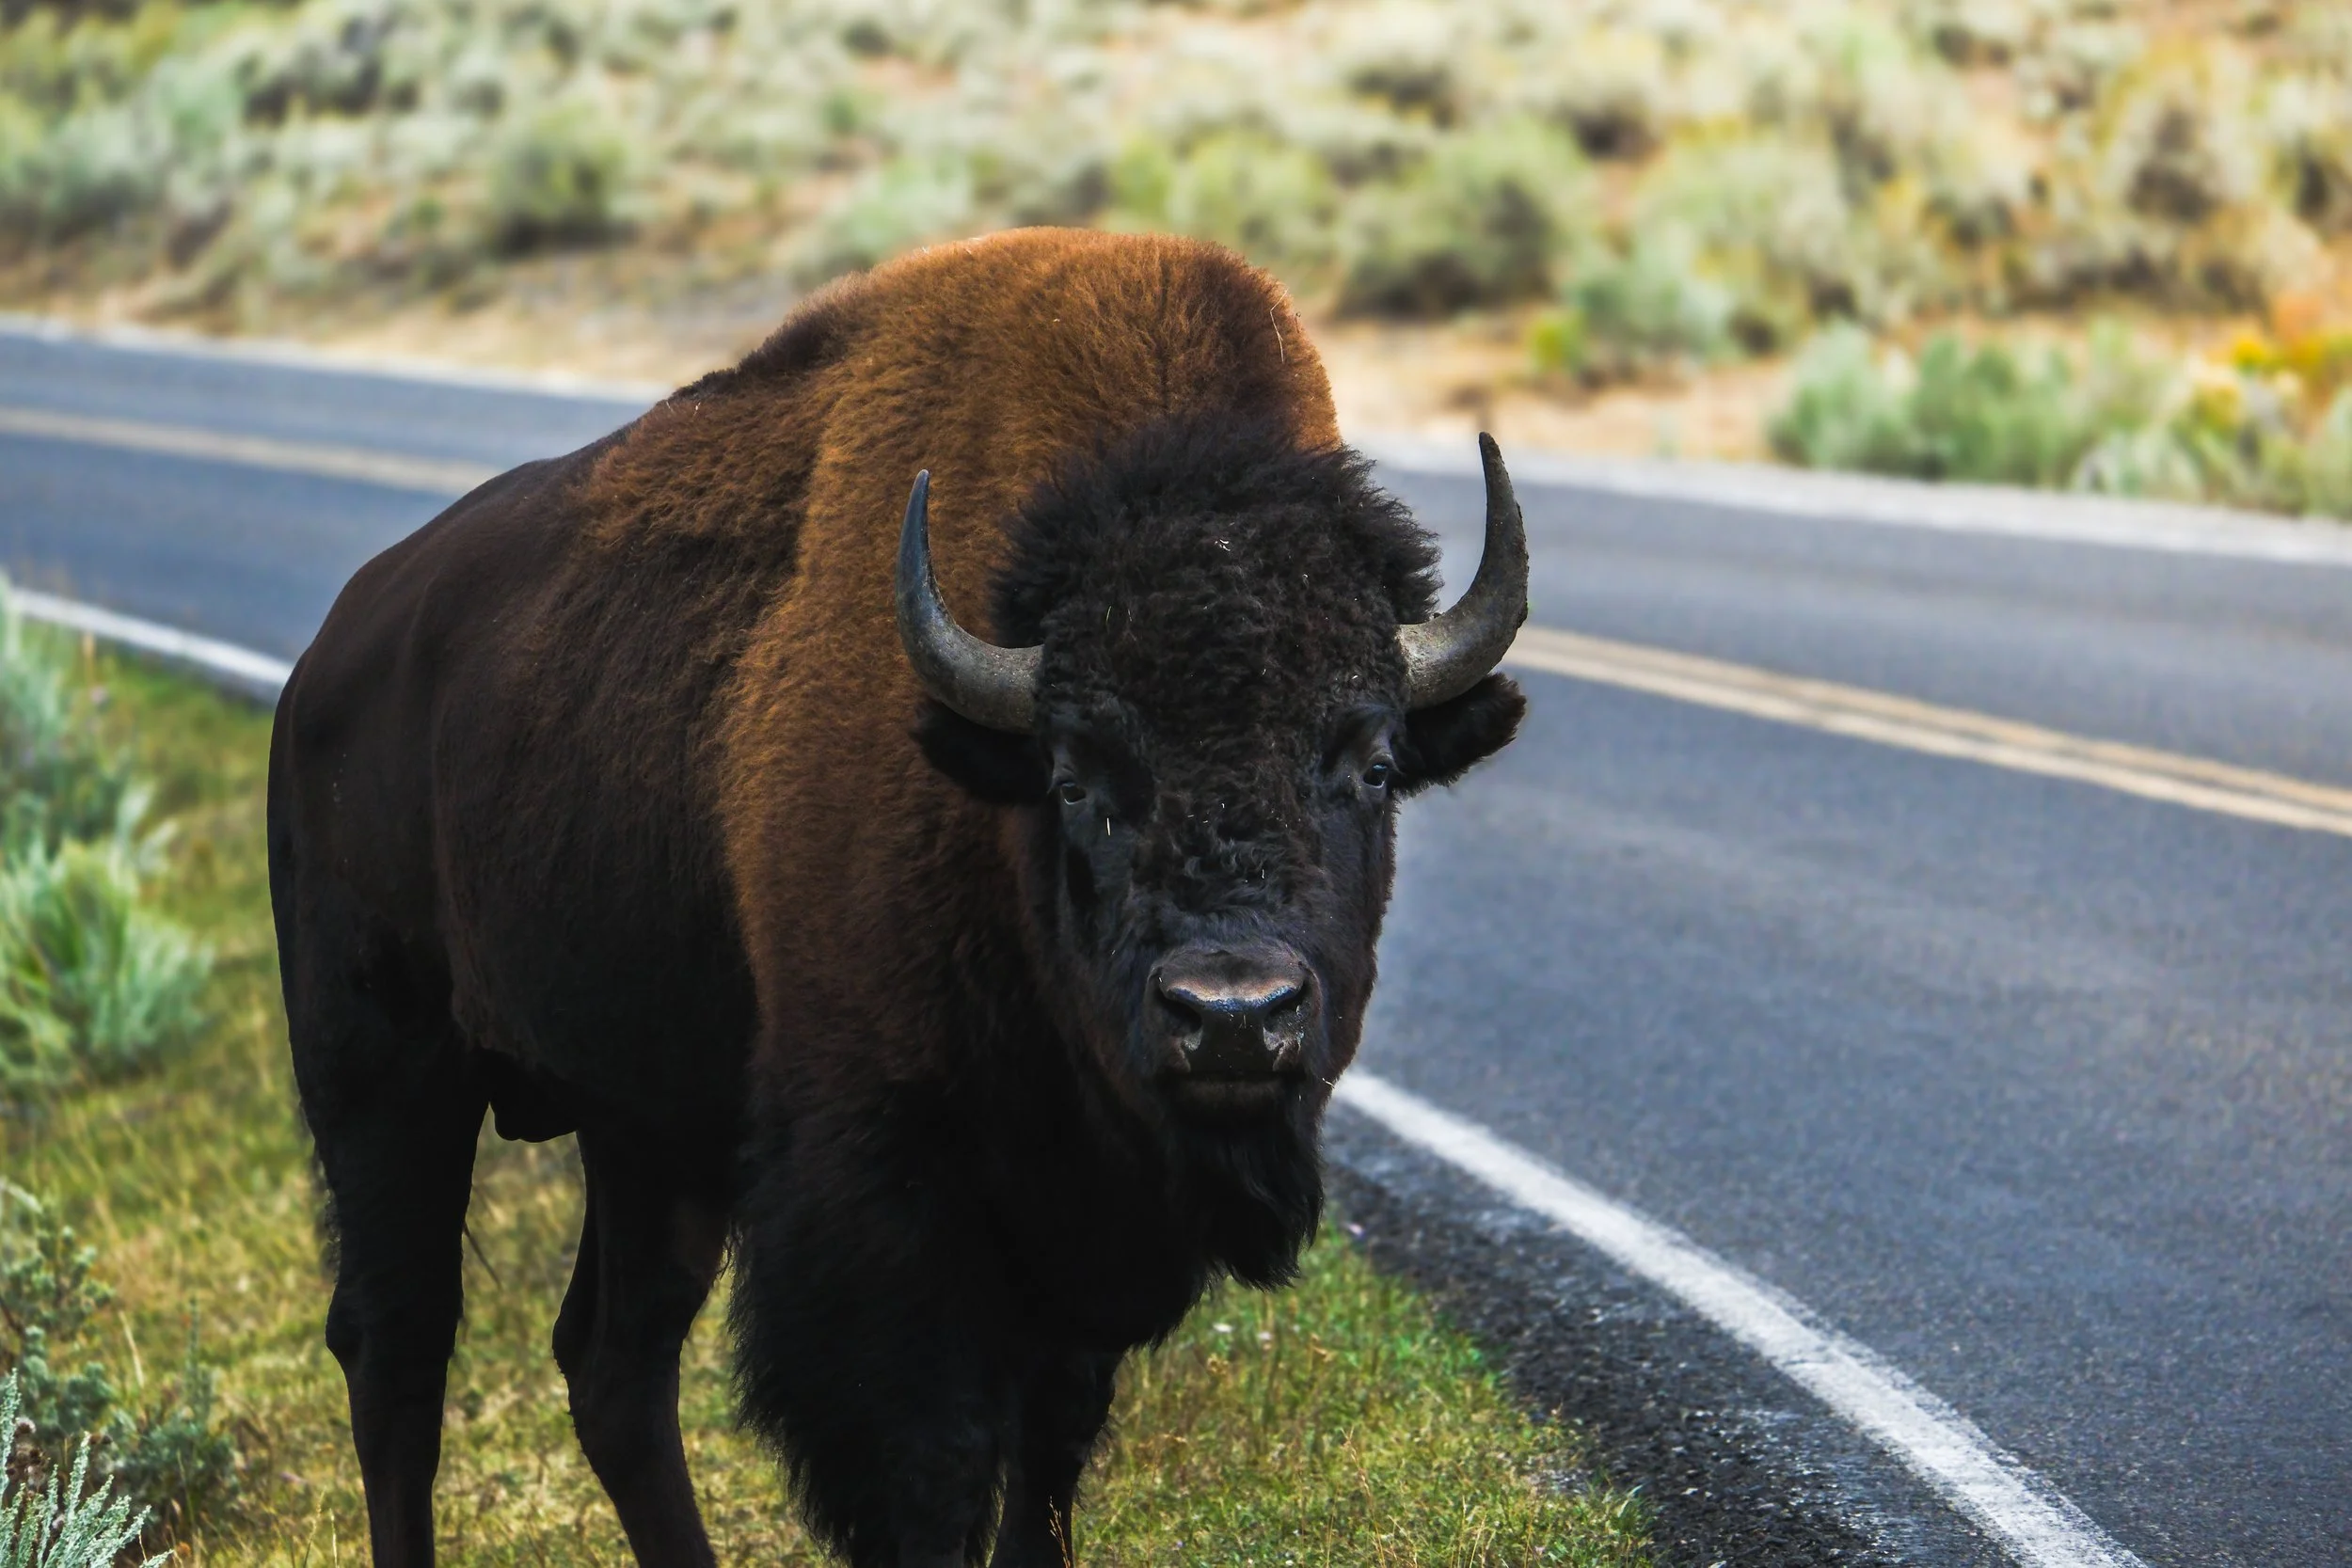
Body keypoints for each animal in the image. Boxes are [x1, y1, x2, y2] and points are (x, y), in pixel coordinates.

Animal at [268, 228, 1527, 1568]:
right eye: (1076, 778)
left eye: (1373, 763)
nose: (1233, 1016)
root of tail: (330, 657)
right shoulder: (883, 1214)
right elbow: (929, 1470)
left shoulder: (1081, 1234)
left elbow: (1048, 1452)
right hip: (386, 1072)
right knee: (398, 1343)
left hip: (644, 1122)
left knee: (612, 1359)